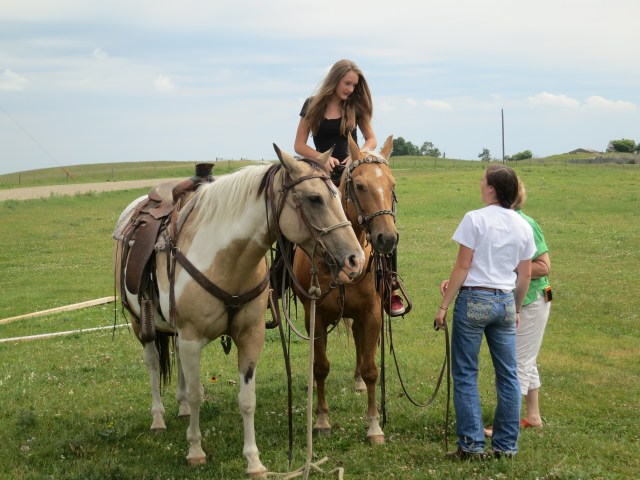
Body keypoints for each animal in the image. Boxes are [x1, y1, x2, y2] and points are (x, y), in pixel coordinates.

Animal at [112, 145, 365, 476]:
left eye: (337, 193)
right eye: (314, 198)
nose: (355, 260)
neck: (225, 261)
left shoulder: (249, 336)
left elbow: (247, 399)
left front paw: (254, 461)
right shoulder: (191, 337)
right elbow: (196, 394)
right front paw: (195, 450)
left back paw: (181, 409)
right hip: (140, 323)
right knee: (153, 364)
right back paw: (159, 418)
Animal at [291, 135, 398, 444]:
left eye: (392, 185)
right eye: (360, 185)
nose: (387, 238)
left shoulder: (371, 314)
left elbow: (372, 368)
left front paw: (374, 426)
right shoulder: (314, 316)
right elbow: (320, 367)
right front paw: (321, 421)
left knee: (362, 346)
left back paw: (358, 381)